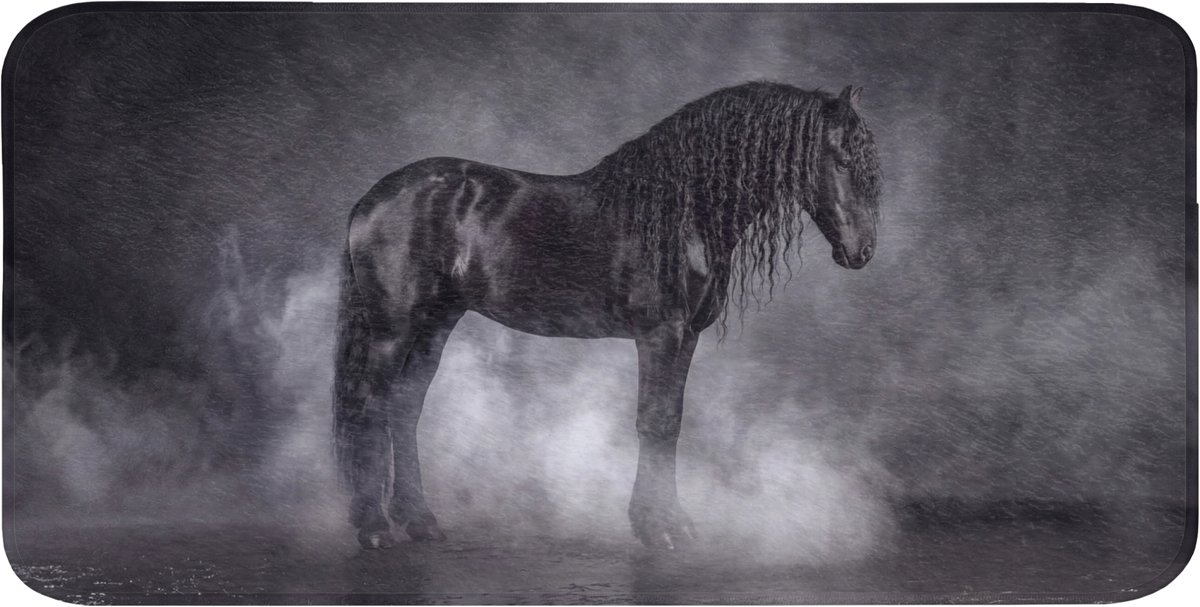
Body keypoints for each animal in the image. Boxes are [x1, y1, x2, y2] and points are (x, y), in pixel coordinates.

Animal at [333, 82, 882, 550]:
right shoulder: (660, 334)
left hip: (437, 323)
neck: (683, 212)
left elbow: (672, 422)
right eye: (840, 157)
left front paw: (672, 521)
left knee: (405, 406)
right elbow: (654, 421)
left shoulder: (687, 337)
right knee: (370, 406)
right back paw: (375, 527)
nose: (862, 252)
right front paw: (657, 528)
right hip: (393, 327)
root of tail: (372, 199)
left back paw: (419, 521)